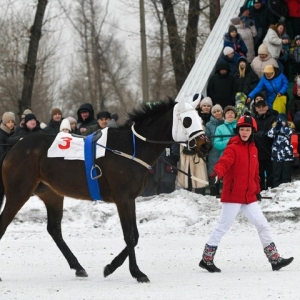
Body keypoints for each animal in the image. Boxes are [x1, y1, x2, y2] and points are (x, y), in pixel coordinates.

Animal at [0, 97, 211, 282]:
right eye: (187, 120)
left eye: (200, 118)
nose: (205, 145)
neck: (130, 149)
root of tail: (14, 148)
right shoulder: (123, 198)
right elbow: (130, 236)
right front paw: (137, 272)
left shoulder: (130, 199)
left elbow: (135, 235)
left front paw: (110, 267)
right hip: (18, 193)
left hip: (52, 195)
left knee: (54, 230)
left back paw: (78, 267)